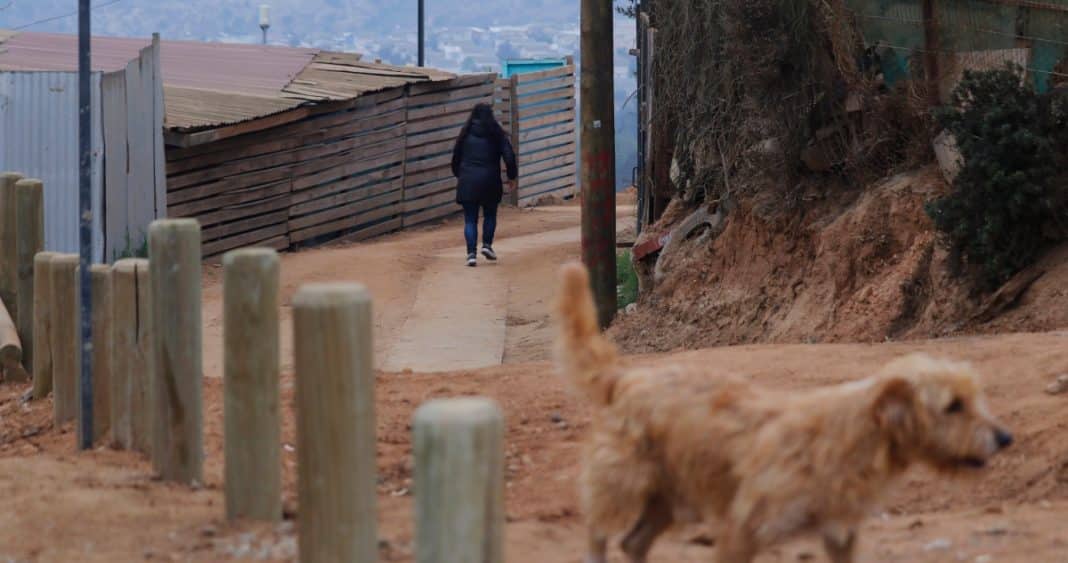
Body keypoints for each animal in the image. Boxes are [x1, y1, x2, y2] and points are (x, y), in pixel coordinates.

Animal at [555, 264, 1012, 563]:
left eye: (976, 398)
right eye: (953, 405)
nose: (1005, 438)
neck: (854, 433)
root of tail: (626, 376)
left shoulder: (840, 536)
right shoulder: (742, 530)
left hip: (664, 498)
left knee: (632, 544)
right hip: (621, 484)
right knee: (598, 536)